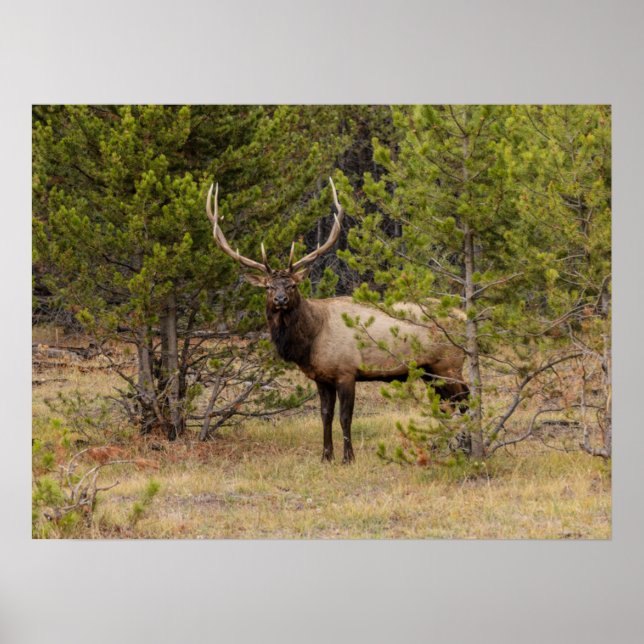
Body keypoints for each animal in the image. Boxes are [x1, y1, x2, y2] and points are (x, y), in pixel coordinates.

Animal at [206, 179, 469, 463]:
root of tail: (465, 316)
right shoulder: (321, 377)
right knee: (447, 405)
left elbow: (345, 417)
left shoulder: (346, 371)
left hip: (449, 364)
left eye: (293, 285)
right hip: (430, 370)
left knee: (466, 400)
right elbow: (325, 416)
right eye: (268, 286)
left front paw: (348, 457)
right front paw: (326, 456)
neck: (311, 341)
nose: (279, 299)